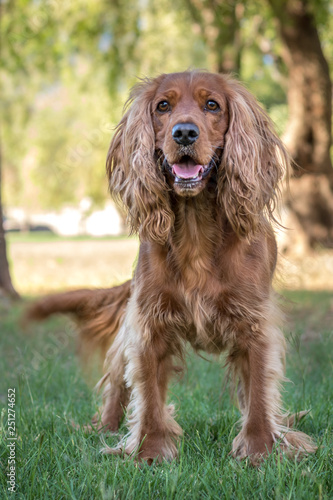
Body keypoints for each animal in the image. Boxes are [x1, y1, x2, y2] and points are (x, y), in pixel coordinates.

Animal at [27, 70, 316, 464]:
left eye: (213, 105)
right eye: (163, 105)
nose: (184, 133)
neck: (196, 228)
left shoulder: (255, 322)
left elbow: (258, 391)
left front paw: (260, 451)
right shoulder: (149, 322)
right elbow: (148, 395)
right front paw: (148, 452)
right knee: (116, 383)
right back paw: (104, 428)